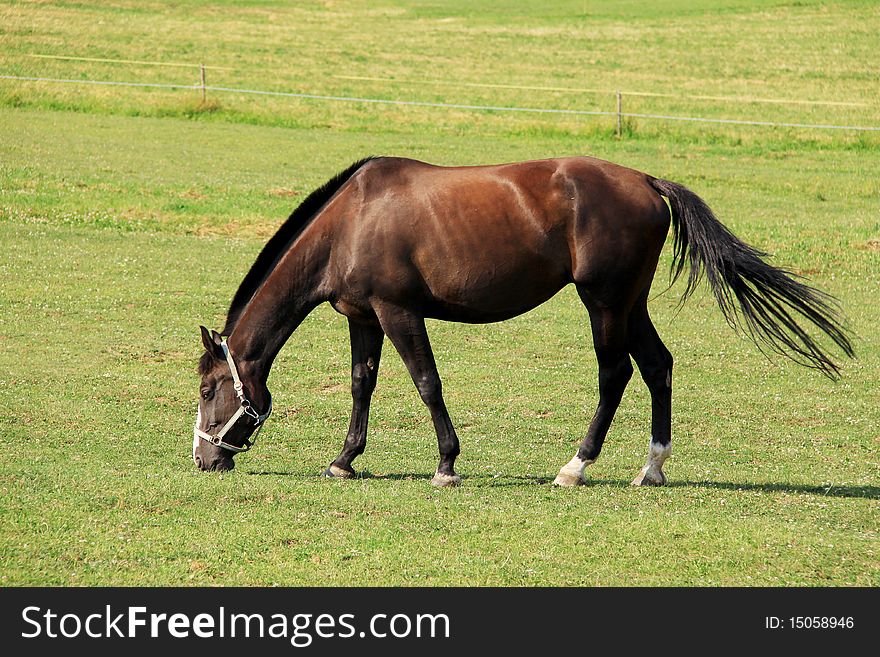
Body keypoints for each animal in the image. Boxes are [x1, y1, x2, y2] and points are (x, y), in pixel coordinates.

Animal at [191, 156, 852, 486]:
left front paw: (447, 465)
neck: (351, 218)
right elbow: (362, 385)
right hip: (630, 303)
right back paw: (652, 467)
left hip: (604, 303)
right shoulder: (364, 317)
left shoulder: (399, 311)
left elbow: (427, 383)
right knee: (658, 367)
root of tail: (644, 180)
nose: (203, 459)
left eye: (206, 390)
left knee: (615, 375)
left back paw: (576, 467)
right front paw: (344, 460)